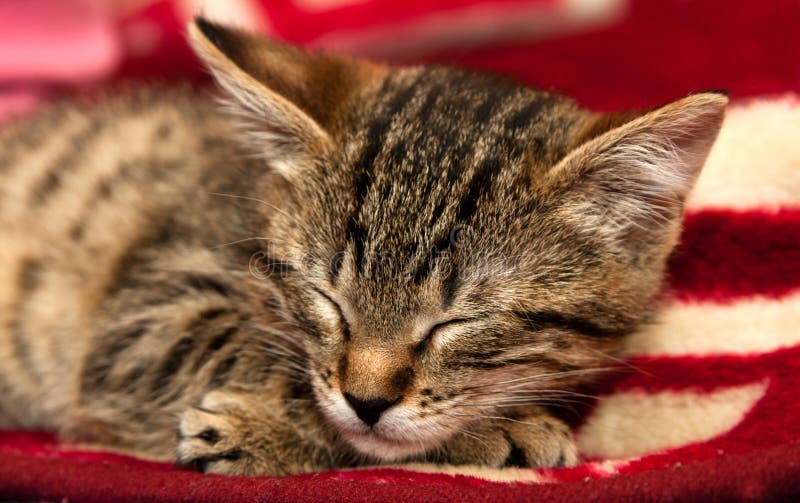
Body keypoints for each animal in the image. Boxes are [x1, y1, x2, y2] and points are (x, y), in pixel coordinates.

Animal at [0, 18, 724, 476]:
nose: (368, 400)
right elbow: (283, 372)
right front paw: (492, 430)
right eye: (327, 299)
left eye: (457, 323)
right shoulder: (143, 317)